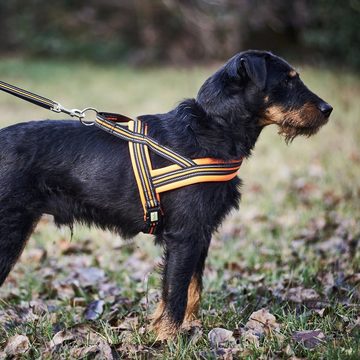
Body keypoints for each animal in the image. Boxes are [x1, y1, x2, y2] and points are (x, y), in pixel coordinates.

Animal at [0, 50, 332, 340]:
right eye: (287, 80)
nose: (328, 109)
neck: (212, 126)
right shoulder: (184, 237)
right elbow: (176, 294)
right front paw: (168, 339)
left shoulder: (201, 234)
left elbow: (191, 288)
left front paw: (186, 328)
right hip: (10, 233)